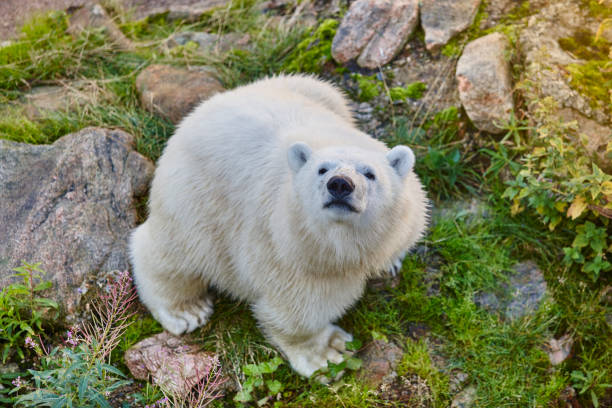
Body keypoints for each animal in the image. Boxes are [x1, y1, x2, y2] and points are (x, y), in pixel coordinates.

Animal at [129, 75, 428, 378]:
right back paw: (186, 310)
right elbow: (298, 303)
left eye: (370, 173)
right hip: (194, 197)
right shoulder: (285, 240)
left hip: (318, 90)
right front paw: (328, 353)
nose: (340, 184)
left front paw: (391, 262)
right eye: (322, 169)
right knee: (176, 251)